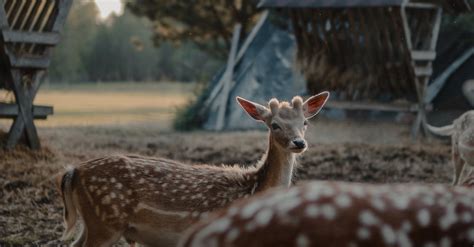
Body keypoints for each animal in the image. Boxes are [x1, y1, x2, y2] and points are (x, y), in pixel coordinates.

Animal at [56, 91, 330, 246]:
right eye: (274, 125)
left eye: (305, 122)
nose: (299, 143)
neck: (252, 189)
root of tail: (73, 172)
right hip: (105, 223)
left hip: (93, 223)